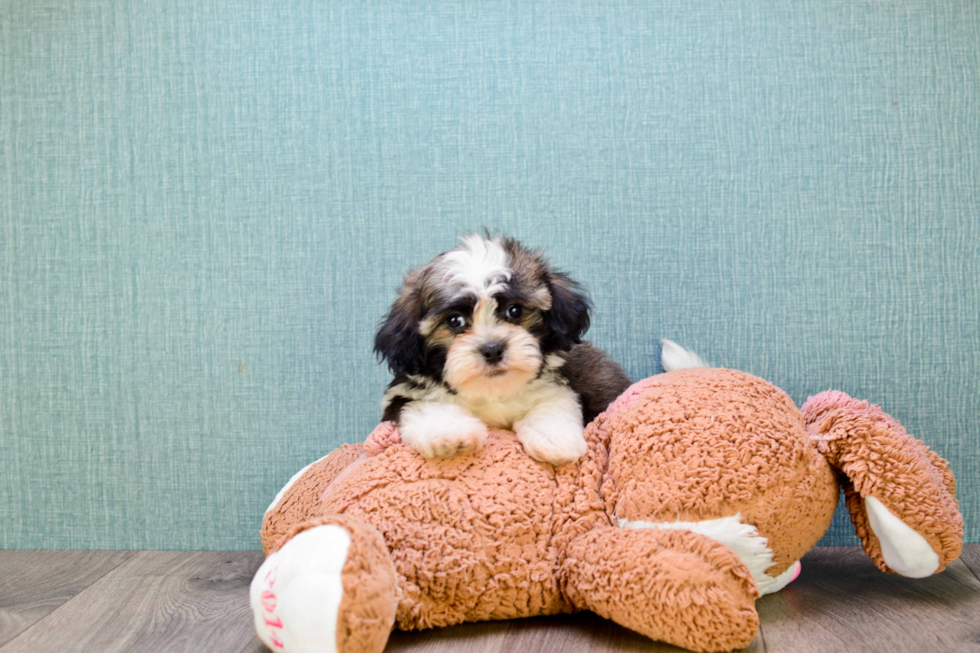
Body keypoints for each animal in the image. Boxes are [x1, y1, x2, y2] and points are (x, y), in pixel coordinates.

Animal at [372, 233, 632, 464]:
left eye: (514, 310)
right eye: (455, 321)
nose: (492, 349)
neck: (492, 391)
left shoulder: (555, 385)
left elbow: (552, 403)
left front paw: (554, 440)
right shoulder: (406, 392)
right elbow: (424, 408)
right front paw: (451, 434)